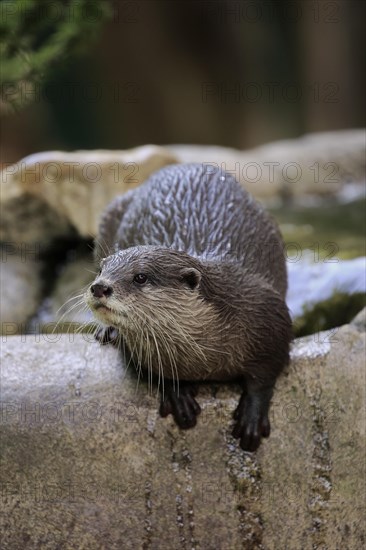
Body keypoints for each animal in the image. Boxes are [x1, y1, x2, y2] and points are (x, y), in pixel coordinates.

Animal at [85, 164, 292, 452]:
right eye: (103, 270)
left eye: (141, 277)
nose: (99, 287)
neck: (207, 353)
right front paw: (177, 392)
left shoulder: (270, 317)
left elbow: (268, 372)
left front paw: (253, 416)